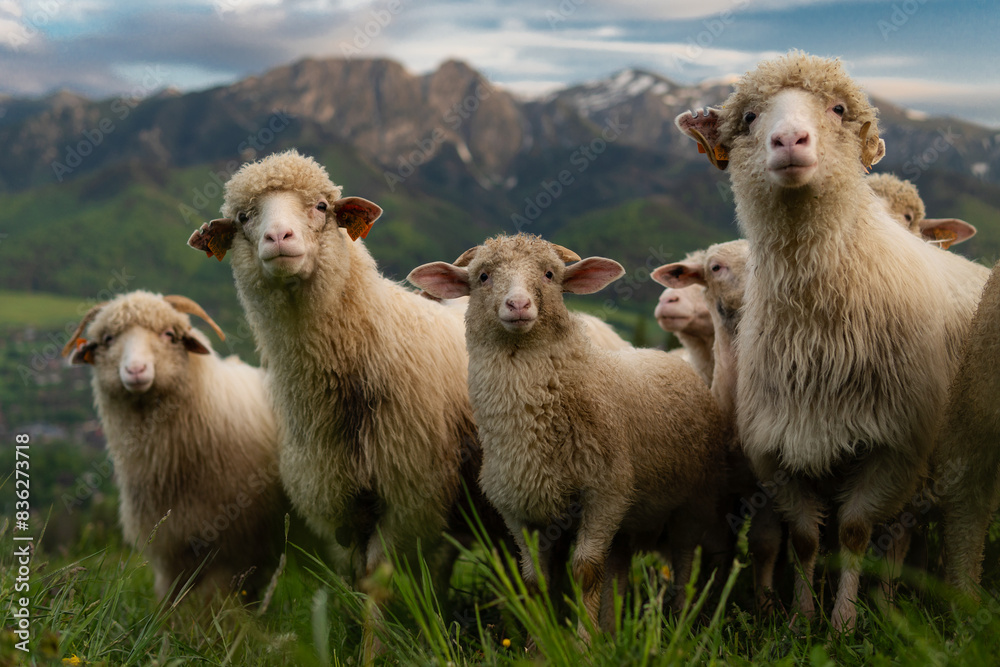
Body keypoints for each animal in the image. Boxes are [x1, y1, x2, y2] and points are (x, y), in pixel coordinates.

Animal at [61, 291, 285, 601]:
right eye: (108, 339)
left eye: (169, 334)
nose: (136, 370)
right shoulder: (170, 548)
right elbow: (173, 598)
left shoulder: (240, 546)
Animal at [186, 149, 500, 658]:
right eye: (244, 217)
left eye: (320, 206)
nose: (278, 238)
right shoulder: (338, 503)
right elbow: (354, 579)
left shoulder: (406, 495)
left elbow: (376, 581)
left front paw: (373, 652)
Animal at [407, 233, 729, 636]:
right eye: (482, 276)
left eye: (550, 275)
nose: (518, 304)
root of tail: (664, 356)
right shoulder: (520, 508)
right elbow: (535, 580)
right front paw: (540, 640)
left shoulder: (604, 494)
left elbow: (585, 571)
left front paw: (584, 642)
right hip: (629, 516)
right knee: (618, 567)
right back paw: (613, 628)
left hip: (693, 502)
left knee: (685, 561)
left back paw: (681, 621)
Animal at [674, 51, 990, 630]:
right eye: (749, 117)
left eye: (839, 109)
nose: (790, 140)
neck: (815, 334)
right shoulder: (780, 451)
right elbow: (804, 539)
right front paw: (801, 618)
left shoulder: (893, 448)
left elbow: (854, 531)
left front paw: (843, 622)